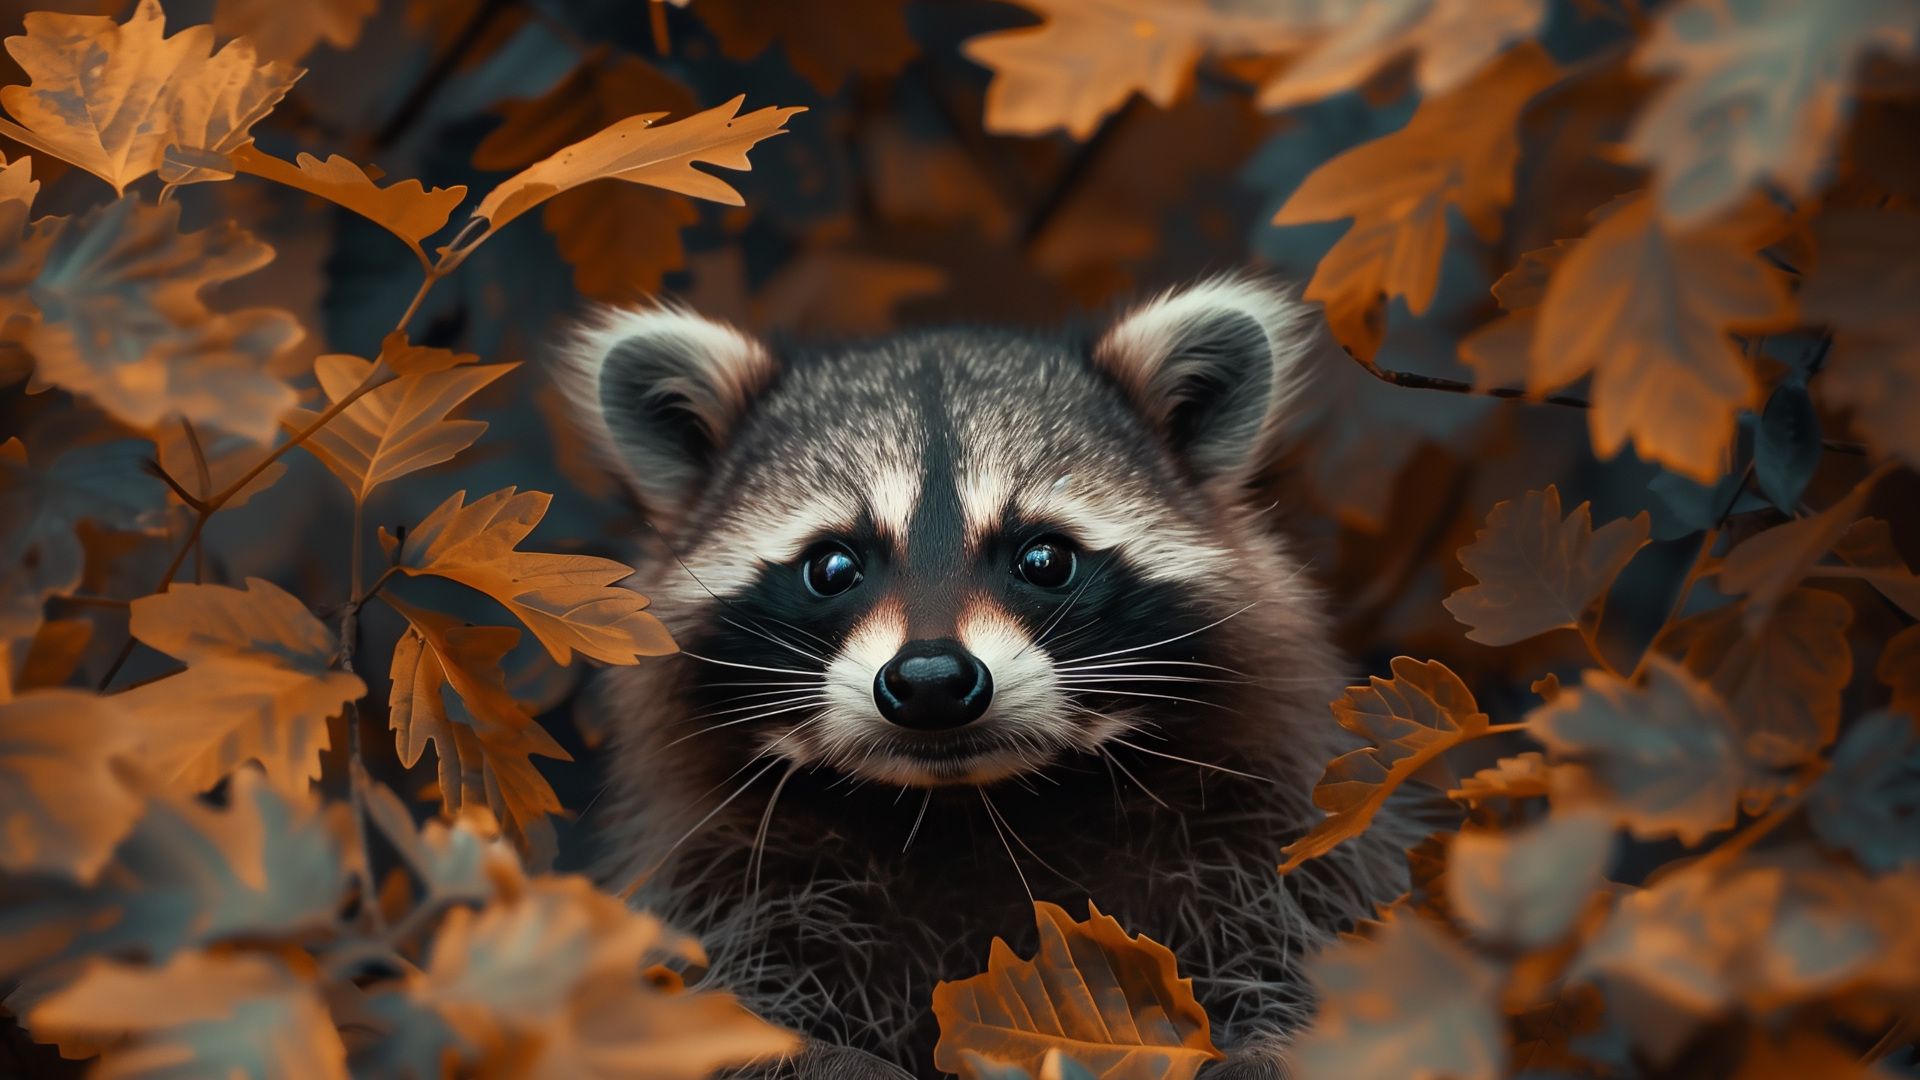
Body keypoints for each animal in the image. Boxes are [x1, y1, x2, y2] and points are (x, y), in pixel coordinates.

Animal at [566, 278, 1414, 1079]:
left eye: (1044, 558)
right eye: (832, 566)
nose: (932, 678)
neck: (967, 810)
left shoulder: (1270, 847)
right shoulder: (724, 882)